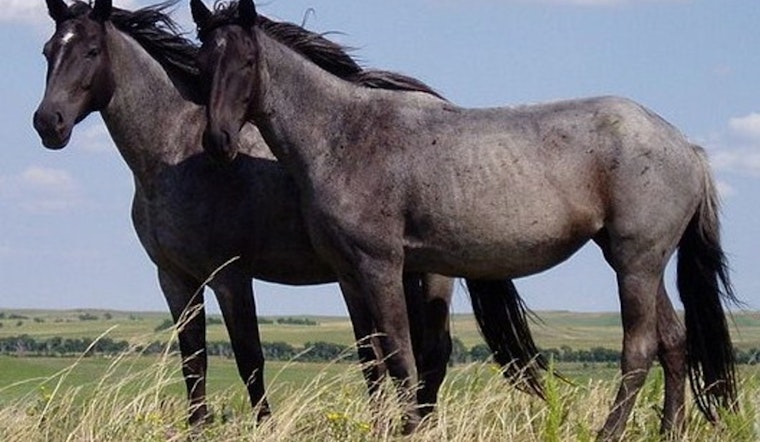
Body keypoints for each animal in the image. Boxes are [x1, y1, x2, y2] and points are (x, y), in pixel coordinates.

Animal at [30, 0, 504, 427]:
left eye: (92, 51)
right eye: (49, 50)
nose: (48, 123)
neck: (174, 156)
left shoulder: (230, 276)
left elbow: (249, 358)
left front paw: (264, 425)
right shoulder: (175, 280)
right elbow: (193, 361)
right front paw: (197, 427)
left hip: (432, 273)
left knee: (432, 354)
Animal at [190, 0, 739, 439]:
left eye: (247, 61)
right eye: (201, 63)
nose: (217, 141)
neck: (344, 135)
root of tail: (685, 146)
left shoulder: (382, 266)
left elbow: (401, 356)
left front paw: (409, 428)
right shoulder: (348, 274)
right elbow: (372, 359)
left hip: (634, 264)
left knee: (639, 349)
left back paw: (611, 431)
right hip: (642, 263)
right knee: (674, 343)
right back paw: (670, 429)